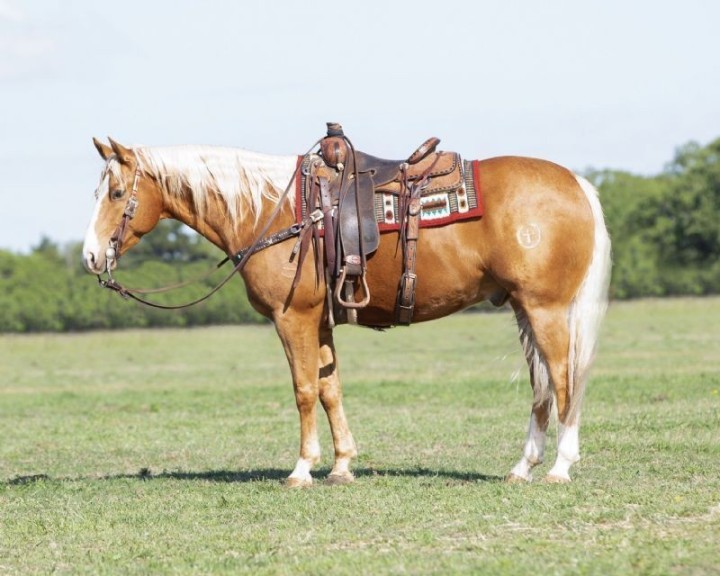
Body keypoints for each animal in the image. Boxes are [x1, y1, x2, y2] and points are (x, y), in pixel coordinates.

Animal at [82, 135, 611, 486]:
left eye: (116, 193)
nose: (90, 257)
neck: (275, 211)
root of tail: (577, 183)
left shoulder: (292, 318)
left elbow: (303, 391)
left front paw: (301, 469)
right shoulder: (319, 321)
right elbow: (329, 389)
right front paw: (341, 465)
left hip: (545, 310)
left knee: (563, 380)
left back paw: (560, 467)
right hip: (523, 310)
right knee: (542, 388)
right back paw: (523, 467)